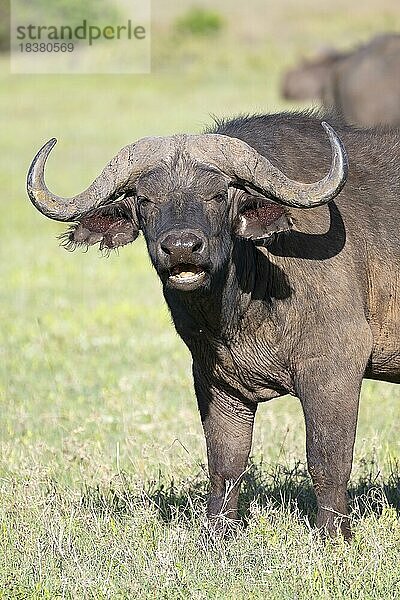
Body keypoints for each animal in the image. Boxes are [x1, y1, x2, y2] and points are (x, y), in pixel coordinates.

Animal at [27, 113, 400, 540]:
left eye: (218, 195)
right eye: (145, 199)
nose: (181, 248)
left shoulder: (334, 365)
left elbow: (327, 459)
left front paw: (331, 535)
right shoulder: (214, 377)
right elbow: (226, 462)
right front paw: (218, 532)